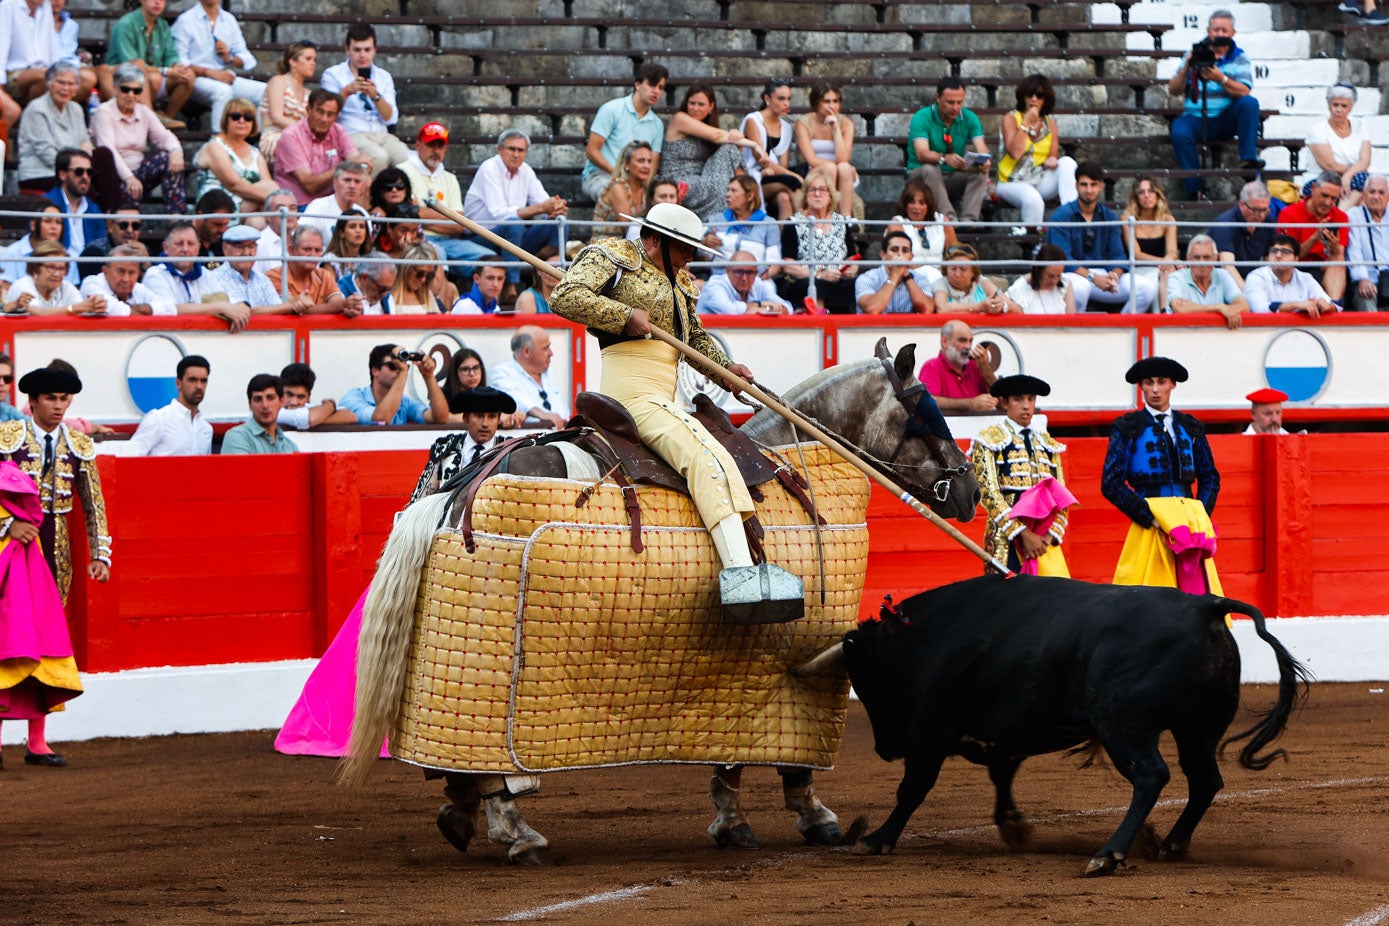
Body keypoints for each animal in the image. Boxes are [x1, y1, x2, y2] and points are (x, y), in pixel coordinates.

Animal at [341, 338, 983, 860]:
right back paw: (518, 832)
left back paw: (460, 812)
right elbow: (784, 754)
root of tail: (463, 489)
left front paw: (733, 821)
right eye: (929, 409)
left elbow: (738, 740)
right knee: (498, 764)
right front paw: (812, 816)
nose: (972, 491)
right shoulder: (798, 649)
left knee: (455, 756)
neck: (793, 462)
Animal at [838, 571, 1305, 877]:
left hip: (1123, 724)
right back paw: (1172, 844)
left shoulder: (931, 728)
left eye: (865, 683)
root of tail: (1204, 606)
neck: (924, 635)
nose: (885, 748)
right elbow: (1002, 773)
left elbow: (913, 787)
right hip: (1198, 729)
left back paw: (1109, 855)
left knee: (1151, 775)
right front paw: (1013, 825)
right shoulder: (1004, 732)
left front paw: (876, 839)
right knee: (1204, 779)